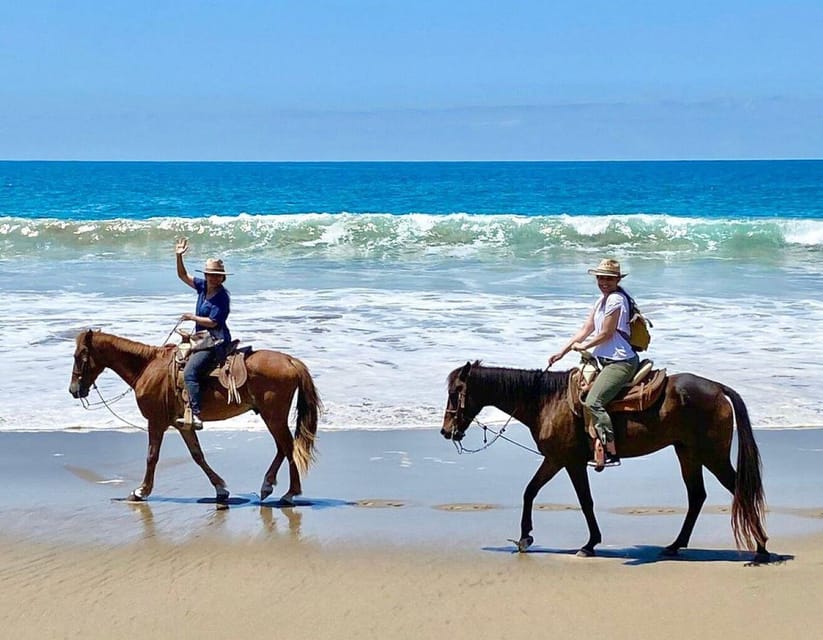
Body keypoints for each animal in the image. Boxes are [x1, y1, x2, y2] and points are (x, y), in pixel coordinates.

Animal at [69, 330, 320, 504]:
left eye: (80, 355)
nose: (73, 390)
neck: (147, 367)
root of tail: (290, 360)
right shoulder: (183, 425)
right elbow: (197, 455)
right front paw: (220, 489)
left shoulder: (156, 422)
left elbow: (152, 456)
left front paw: (141, 491)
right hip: (271, 416)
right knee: (282, 448)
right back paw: (268, 486)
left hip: (273, 416)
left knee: (287, 447)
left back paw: (289, 493)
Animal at [440, 362, 768, 564]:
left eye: (456, 392)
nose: (446, 431)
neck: (546, 400)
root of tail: (717, 387)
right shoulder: (559, 460)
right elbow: (535, 492)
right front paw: (529, 537)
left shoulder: (564, 460)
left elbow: (576, 499)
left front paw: (582, 544)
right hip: (687, 453)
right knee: (697, 496)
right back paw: (675, 546)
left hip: (711, 455)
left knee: (738, 489)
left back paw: (762, 549)